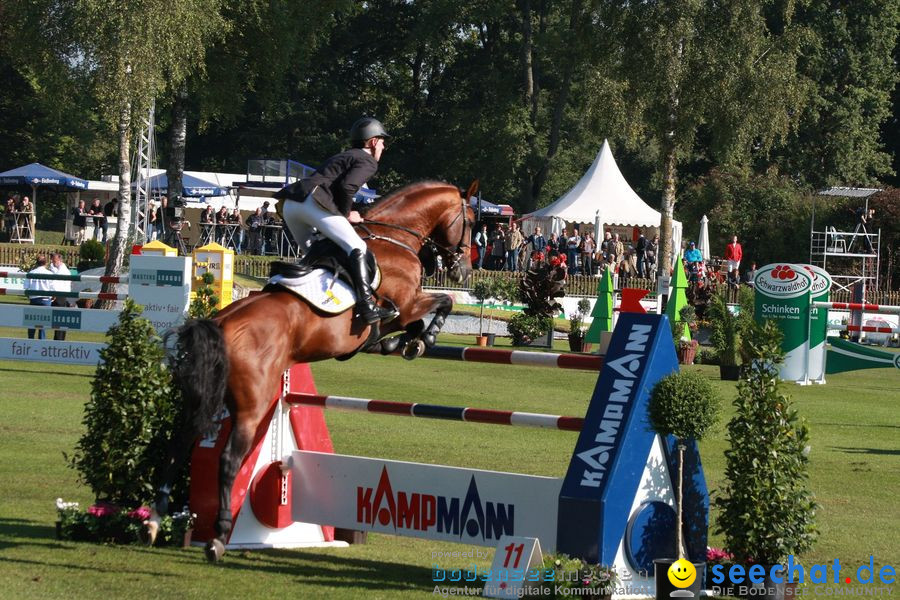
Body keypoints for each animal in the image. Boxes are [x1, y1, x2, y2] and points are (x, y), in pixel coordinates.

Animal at [144, 180, 474, 560]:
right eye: (471, 222)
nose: (463, 271)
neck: (395, 238)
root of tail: (222, 324)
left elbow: (406, 326)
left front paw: (401, 344)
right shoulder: (406, 305)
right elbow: (442, 302)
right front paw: (423, 339)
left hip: (204, 399)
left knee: (178, 444)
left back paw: (155, 519)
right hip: (252, 405)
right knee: (228, 460)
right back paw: (218, 536)